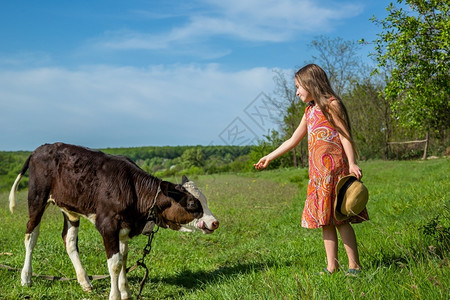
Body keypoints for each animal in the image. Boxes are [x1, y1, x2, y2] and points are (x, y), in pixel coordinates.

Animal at [9, 143, 221, 300]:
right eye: (192, 203)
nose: (214, 222)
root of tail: (39, 149)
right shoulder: (108, 225)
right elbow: (115, 263)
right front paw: (115, 295)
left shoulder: (125, 228)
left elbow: (124, 257)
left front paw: (125, 291)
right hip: (37, 198)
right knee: (31, 235)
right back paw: (26, 277)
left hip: (70, 209)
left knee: (68, 240)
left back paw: (85, 281)